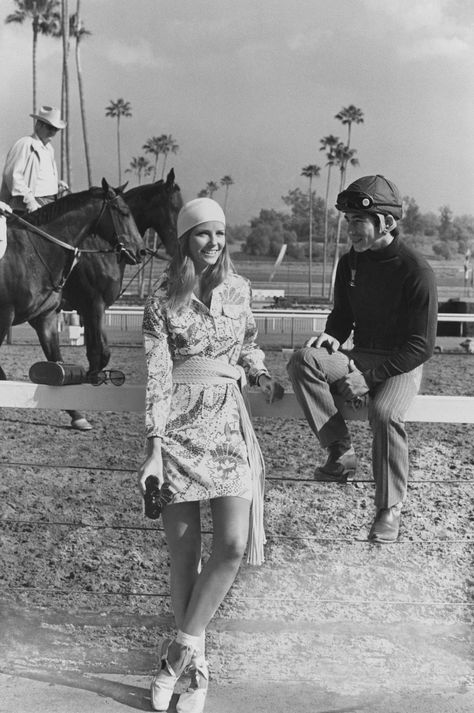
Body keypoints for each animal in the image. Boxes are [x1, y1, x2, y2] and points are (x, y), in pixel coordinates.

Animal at [0, 181, 144, 432]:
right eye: (123, 212)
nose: (140, 251)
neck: (31, 253)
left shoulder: (46, 318)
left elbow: (57, 364)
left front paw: (77, 415)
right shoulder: (4, 315)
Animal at [61, 169, 181, 372]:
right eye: (175, 207)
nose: (177, 247)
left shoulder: (94, 309)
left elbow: (100, 355)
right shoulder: (92, 306)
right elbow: (97, 354)